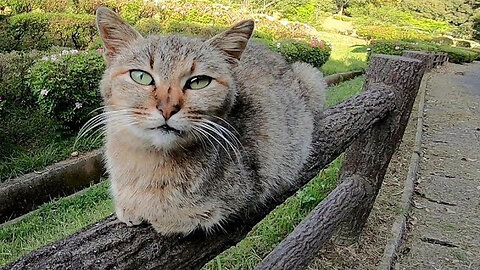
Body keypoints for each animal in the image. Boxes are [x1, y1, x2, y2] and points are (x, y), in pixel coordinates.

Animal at [94, 6, 326, 234]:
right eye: (141, 76)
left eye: (199, 82)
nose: (167, 109)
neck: (146, 162)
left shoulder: (247, 190)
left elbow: (176, 213)